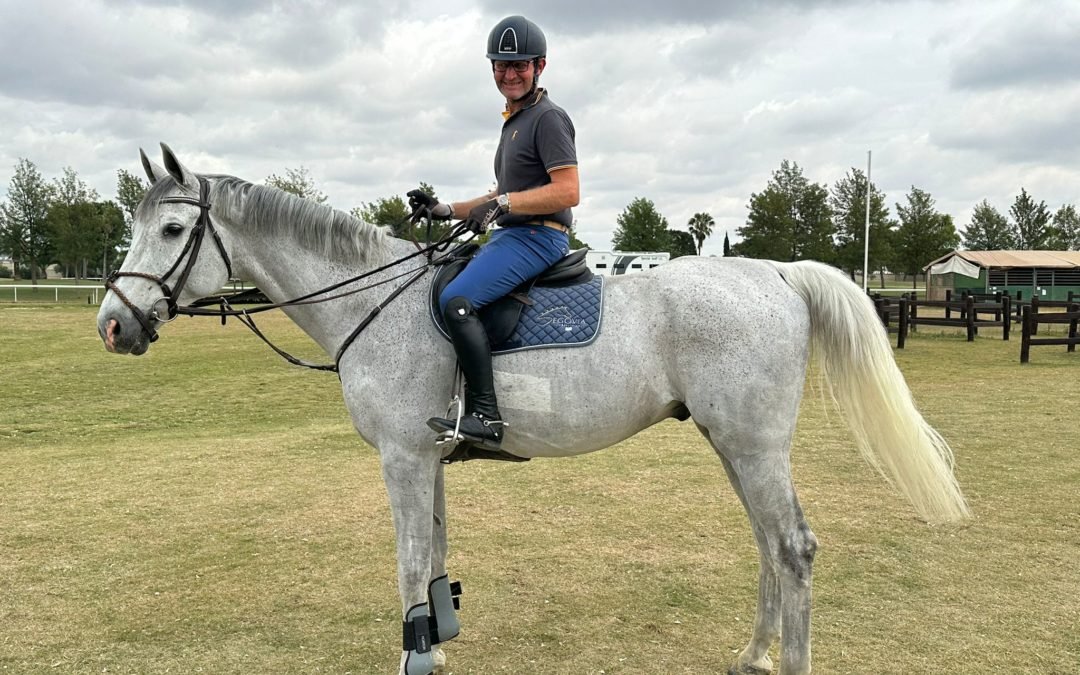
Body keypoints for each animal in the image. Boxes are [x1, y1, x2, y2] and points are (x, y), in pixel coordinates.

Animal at [96, 144, 969, 675]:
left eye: (170, 227)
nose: (113, 325)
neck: (378, 302)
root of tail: (777, 275)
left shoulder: (401, 459)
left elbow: (408, 557)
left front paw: (415, 654)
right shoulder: (426, 458)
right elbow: (435, 549)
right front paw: (439, 636)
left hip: (752, 446)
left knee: (793, 547)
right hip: (736, 444)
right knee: (770, 545)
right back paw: (753, 652)